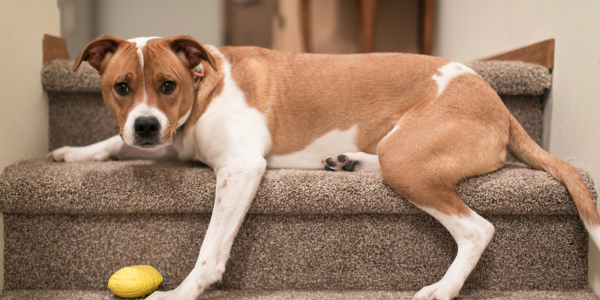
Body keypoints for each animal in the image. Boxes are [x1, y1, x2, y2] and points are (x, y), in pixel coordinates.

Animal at [48, 35, 600, 300]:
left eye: (168, 84)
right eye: (121, 87)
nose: (144, 125)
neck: (202, 87)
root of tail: (498, 102)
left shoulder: (240, 169)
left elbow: (210, 251)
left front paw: (181, 294)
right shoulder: (170, 138)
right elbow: (113, 142)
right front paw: (75, 153)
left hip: (408, 162)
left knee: (478, 229)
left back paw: (444, 289)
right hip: (400, 152)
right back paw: (347, 161)